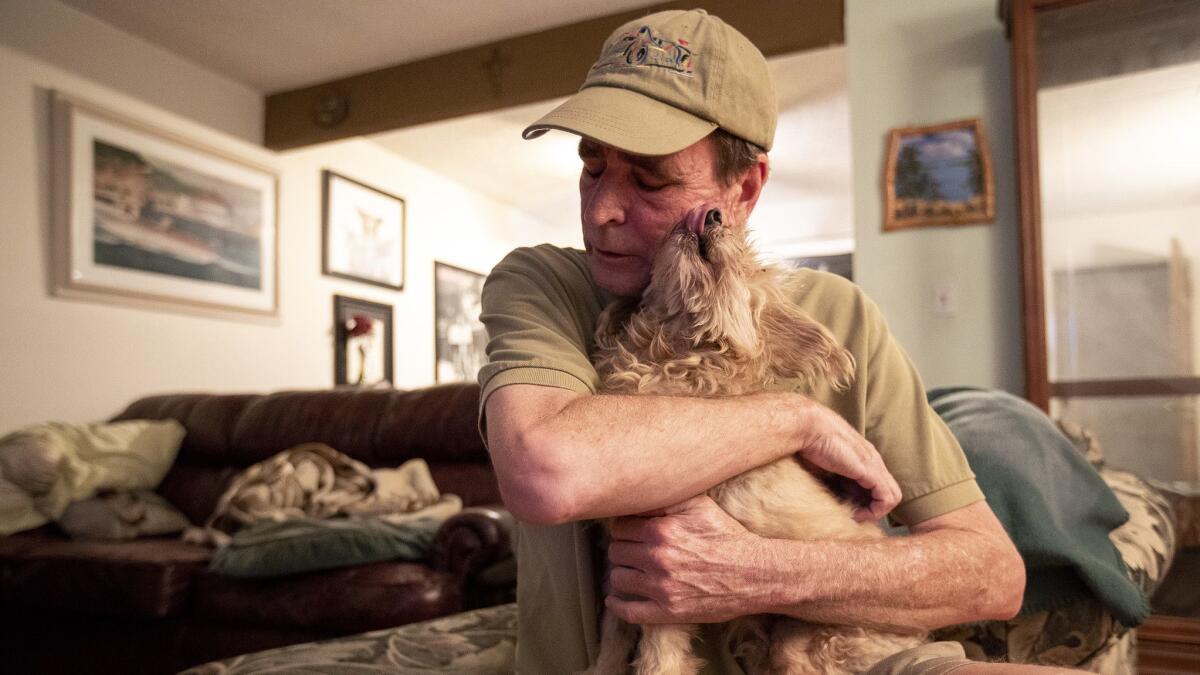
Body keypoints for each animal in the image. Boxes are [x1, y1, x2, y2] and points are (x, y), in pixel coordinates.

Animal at [585, 207, 921, 667]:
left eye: (746, 267)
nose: (711, 212)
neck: (669, 354)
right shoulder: (624, 573)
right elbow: (611, 644)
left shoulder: (663, 583)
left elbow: (659, 661)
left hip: (804, 639)